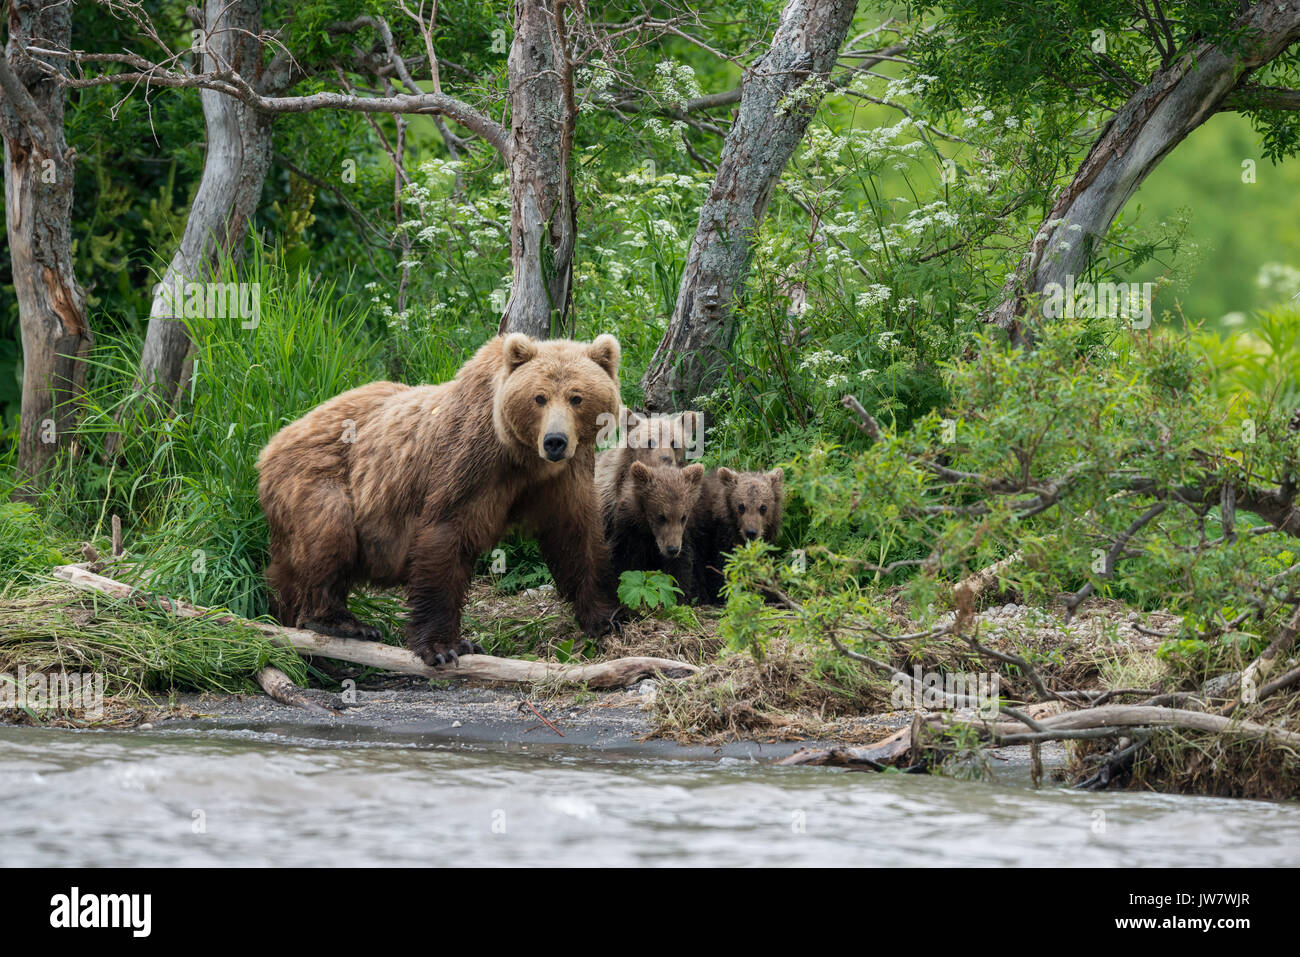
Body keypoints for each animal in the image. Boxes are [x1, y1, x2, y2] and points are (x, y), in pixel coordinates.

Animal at [257, 332, 624, 660]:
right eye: (539, 397)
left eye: (576, 397)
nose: (555, 441)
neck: (523, 460)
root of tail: (272, 443)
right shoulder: (469, 463)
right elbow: (445, 535)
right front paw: (445, 646)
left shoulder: (566, 474)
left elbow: (576, 534)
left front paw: (604, 616)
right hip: (316, 478)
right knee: (329, 534)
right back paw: (339, 621)